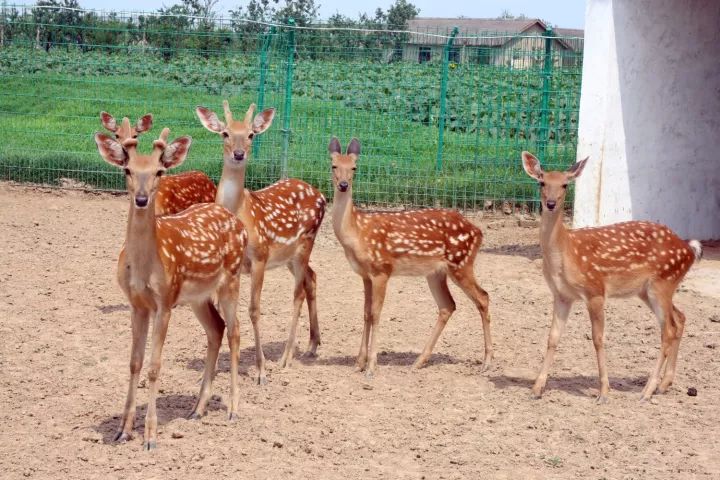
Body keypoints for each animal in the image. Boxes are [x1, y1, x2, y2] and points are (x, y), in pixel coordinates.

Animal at [95, 127, 248, 450]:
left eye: (159, 171)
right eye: (127, 169)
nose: (141, 199)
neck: (143, 269)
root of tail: (235, 221)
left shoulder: (164, 302)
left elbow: (154, 366)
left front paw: (150, 436)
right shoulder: (137, 304)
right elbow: (134, 362)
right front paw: (123, 430)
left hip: (231, 278)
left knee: (235, 330)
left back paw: (233, 408)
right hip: (197, 296)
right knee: (216, 328)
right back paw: (197, 409)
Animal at [194, 100, 324, 382]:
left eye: (251, 134)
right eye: (225, 133)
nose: (239, 153)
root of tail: (321, 194)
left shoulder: (260, 257)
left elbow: (254, 309)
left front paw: (260, 370)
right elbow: (223, 311)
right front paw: (214, 370)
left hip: (305, 242)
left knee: (298, 291)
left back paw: (286, 357)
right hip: (289, 256)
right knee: (312, 277)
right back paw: (312, 344)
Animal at [328, 138, 492, 378]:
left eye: (354, 168)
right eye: (334, 165)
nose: (343, 185)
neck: (357, 233)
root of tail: (479, 232)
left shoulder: (382, 269)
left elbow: (376, 313)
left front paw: (371, 367)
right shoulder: (365, 275)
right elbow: (366, 313)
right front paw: (358, 363)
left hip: (461, 262)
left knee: (483, 297)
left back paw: (487, 361)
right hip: (436, 273)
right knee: (448, 305)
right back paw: (419, 361)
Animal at [520, 152, 704, 404]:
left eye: (565, 184)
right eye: (542, 182)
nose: (550, 203)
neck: (566, 252)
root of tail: (689, 249)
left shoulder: (595, 290)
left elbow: (598, 339)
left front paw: (604, 392)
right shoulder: (562, 295)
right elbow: (553, 337)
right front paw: (537, 389)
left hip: (662, 283)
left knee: (667, 329)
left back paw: (647, 391)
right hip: (649, 290)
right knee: (679, 319)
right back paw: (664, 384)